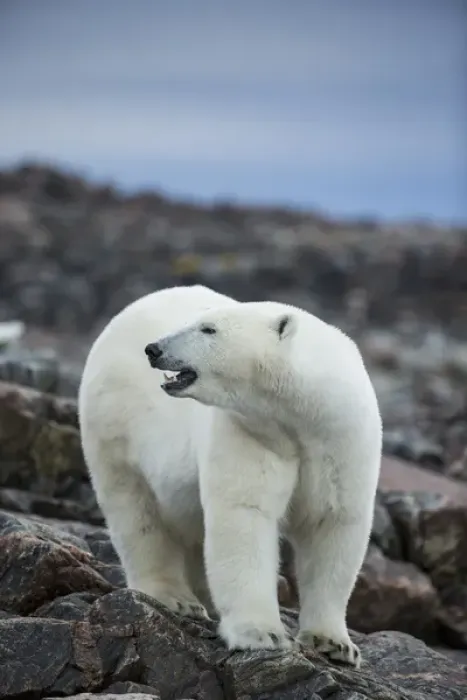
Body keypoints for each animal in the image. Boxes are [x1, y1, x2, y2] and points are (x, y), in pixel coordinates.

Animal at [78, 284, 382, 667]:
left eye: (208, 329)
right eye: (196, 323)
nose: (154, 349)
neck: (300, 417)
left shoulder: (341, 442)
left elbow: (333, 523)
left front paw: (335, 644)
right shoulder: (248, 432)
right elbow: (245, 515)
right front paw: (260, 634)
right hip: (115, 425)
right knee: (136, 513)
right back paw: (175, 597)